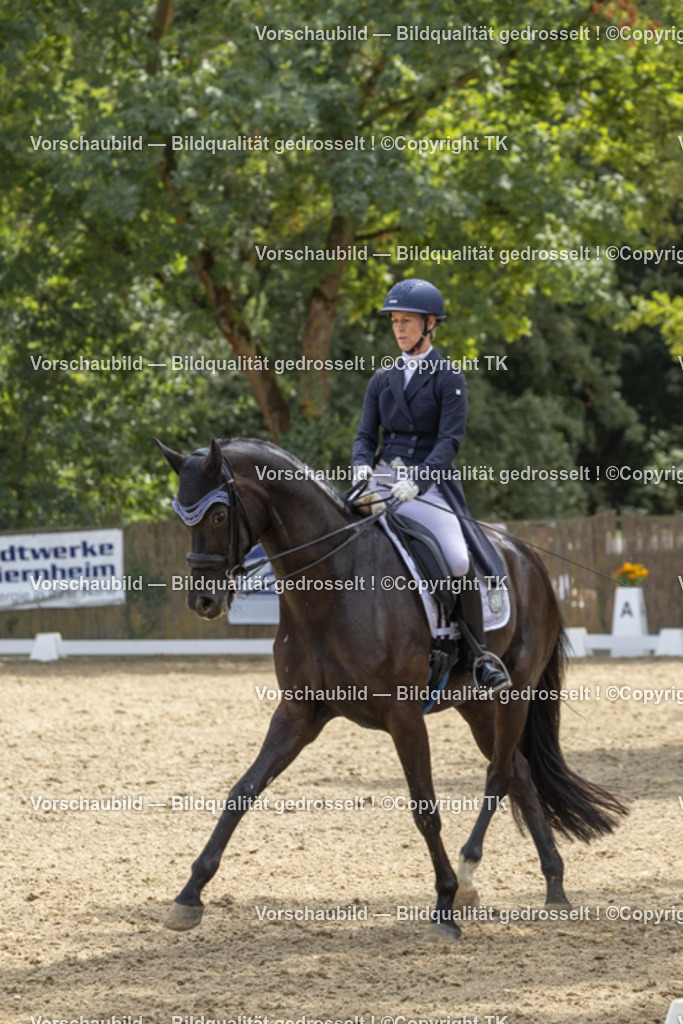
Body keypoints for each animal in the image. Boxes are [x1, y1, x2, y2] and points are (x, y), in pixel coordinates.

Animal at [156, 436, 627, 939]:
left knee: (499, 775)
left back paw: (468, 875)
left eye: (218, 514)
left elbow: (425, 809)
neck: (335, 583)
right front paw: (189, 895)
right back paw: (553, 886)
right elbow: (242, 791)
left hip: (514, 692)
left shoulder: (403, 716)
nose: (204, 600)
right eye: (183, 515)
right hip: (475, 703)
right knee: (518, 771)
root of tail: (527, 556)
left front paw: (444, 906)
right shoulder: (298, 712)